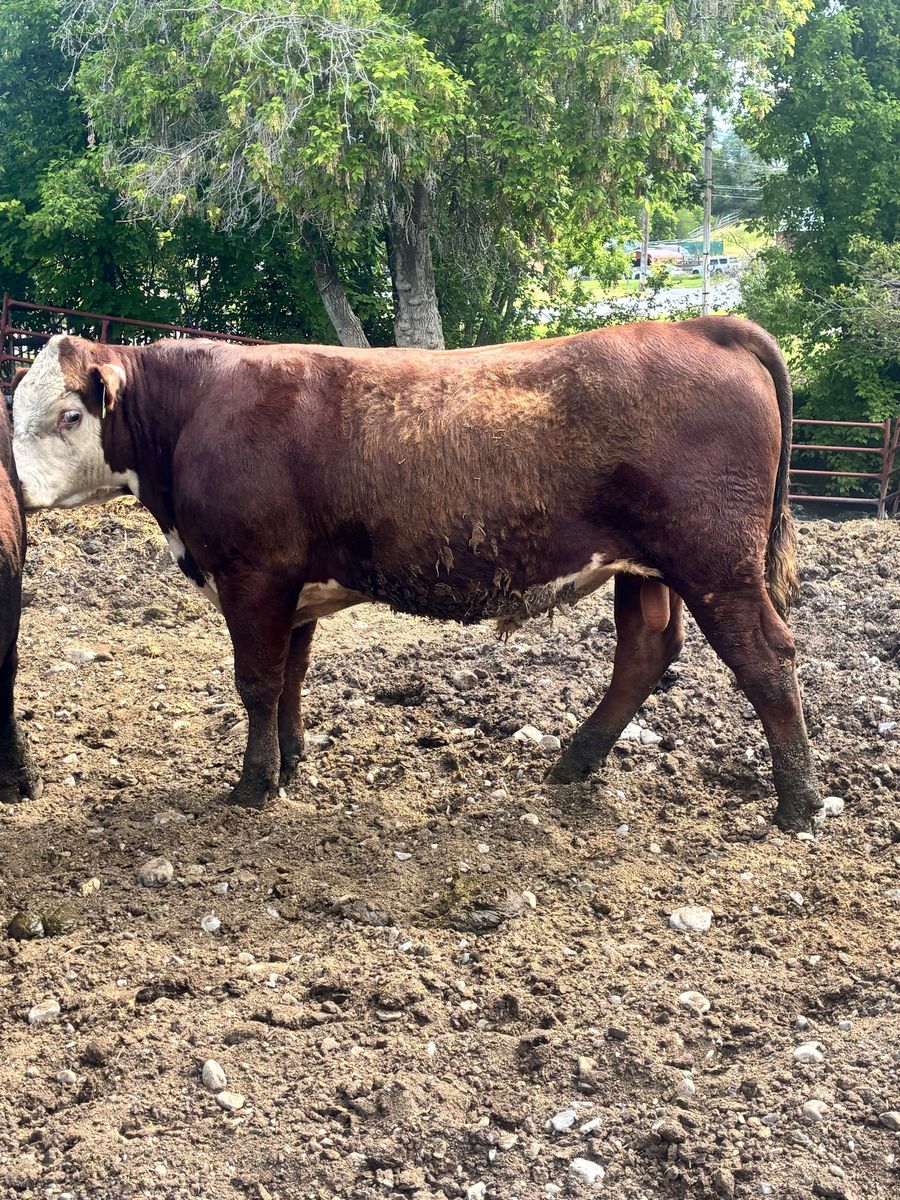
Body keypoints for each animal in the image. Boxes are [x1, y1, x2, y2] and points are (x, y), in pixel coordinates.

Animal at [10, 318, 823, 829]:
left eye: (68, 416)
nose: (14, 488)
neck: (194, 416)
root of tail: (702, 326)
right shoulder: (294, 588)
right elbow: (292, 678)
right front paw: (292, 763)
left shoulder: (253, 577)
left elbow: (258, 683)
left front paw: (253, 784)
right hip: (649, 568)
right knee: (646, 650)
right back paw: (575, 760)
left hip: (716, 564)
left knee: (766, 658)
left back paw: (798, 802)